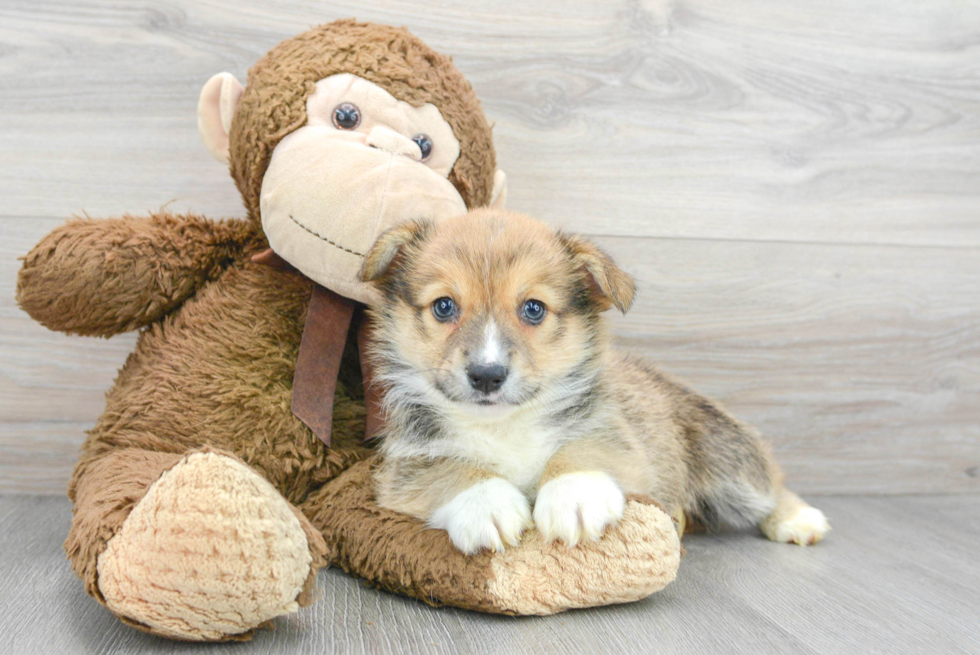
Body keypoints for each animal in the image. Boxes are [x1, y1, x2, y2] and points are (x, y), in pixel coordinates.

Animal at [358, 209, 828, 552]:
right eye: (443, 306)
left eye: (533, 309)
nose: (487, 376)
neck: (504, 425)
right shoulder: (407, 466)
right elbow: (449, 470)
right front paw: (485, 503)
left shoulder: (615, 438)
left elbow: (579, 451)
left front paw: (573, 496)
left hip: (730, 465)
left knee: (774, 485)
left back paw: (797, 518)